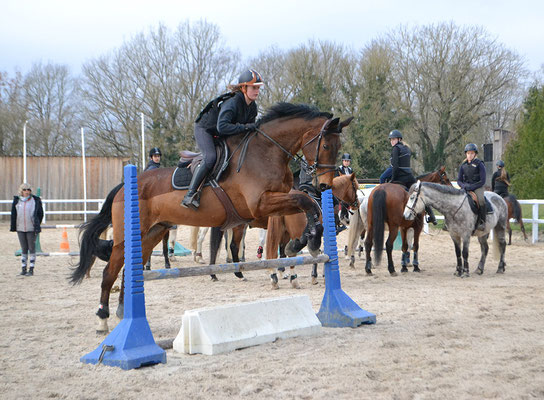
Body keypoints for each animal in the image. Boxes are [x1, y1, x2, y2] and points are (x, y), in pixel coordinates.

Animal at [72, 102, 350, 332]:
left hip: (152, 233)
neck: (267, 151)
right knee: (109, 273)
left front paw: (305, 241)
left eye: (339, 147)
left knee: (131, 269)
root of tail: (123, 187)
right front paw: (304, 243)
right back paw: (103, 319)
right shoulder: (260, 205)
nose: (325, 185)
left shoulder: (277, 204)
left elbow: (308, 208)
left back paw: (122, 311)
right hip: (127, 238)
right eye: (326, 145)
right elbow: (305, 202)